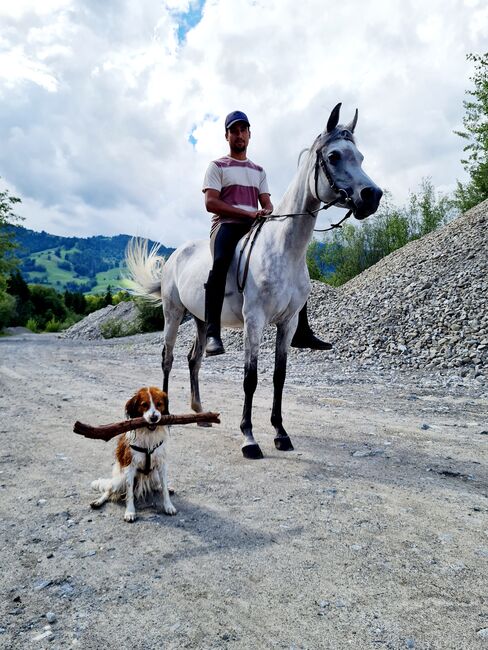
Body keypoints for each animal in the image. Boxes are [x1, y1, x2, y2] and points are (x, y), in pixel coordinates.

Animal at [90, 384, 176, 520]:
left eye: (159, 404)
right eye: (144, 405)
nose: (154, 418)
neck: (148, 433)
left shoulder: (161, 464)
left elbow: (164, 489)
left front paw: (168, 506)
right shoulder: (129, 466)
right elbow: (129, 493)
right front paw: (130, 512)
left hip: (155, 476)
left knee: (158, 485)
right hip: (119, 479)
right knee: (109, 489)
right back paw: (98, 501)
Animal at [125, 102, 382, 456]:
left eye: (360, 156)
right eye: (334, 156)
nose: (372, 195)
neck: (284, 249)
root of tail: (176, 256)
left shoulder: (287, 323)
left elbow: (278, 377)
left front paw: (280, 433)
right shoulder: (255, 319)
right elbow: (251, 378)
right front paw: (249, 437)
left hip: (201, 319)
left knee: (194, 359)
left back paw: (200, 413)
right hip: (173, 313)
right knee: (168, 358)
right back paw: (165, 415)